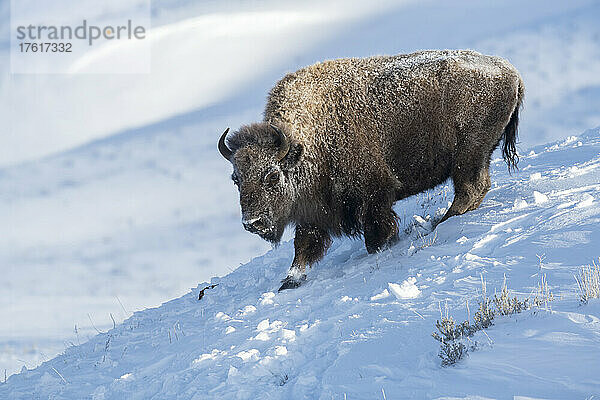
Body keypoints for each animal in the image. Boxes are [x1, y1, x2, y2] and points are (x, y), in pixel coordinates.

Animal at [218, 50, 524, 290]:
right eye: (236, 179)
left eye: (271, 175)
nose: (252, 222)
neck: (306, 143)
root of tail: (511, 72)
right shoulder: (313, 212)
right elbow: (303, 246)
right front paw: (289, 281)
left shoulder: (373, 196)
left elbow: (375, 232)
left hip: (468, 155)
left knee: (470, 188)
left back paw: (440, 222)